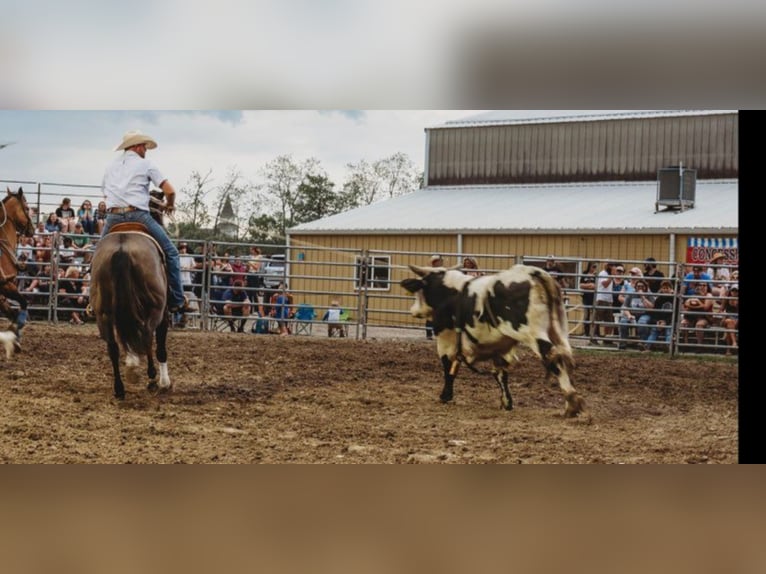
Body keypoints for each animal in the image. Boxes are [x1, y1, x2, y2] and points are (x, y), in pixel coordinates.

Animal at [89, 223, 172, 402]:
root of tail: (122, 249)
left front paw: (132, 363)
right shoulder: (164, 314)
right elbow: (160, 348)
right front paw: (164, 383)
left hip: (103, 314)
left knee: (113, 348)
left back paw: (120, 388)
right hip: (156, 308)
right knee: (147, 334)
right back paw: (152, 378)